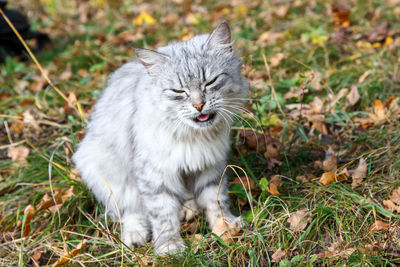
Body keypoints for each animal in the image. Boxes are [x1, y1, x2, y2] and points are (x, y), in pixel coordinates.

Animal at [70, 21, 248, 255]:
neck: (194, 136)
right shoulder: (154, 173)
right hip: (105, 172)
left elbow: (216, 201)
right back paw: (135, 235)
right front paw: (169, 246)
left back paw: (188, 209)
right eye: (178, 91)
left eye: (210, 82)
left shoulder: (210, 165)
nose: (199, 105)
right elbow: (162, 215)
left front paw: (226, 228)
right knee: (129, 210)